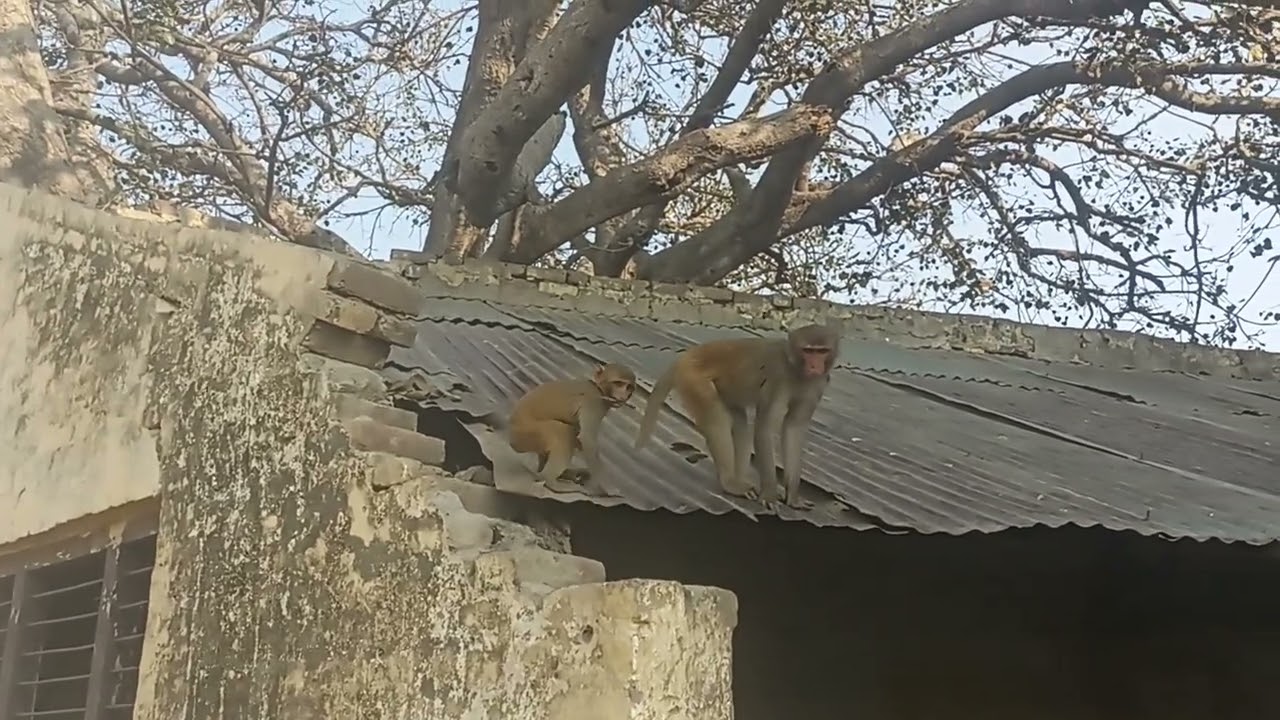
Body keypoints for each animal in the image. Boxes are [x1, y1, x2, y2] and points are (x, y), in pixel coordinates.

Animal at [507, 363, 636, 496]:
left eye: (629, 387)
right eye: (618, 383)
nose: (624, 395)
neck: (598, 387)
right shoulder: (594, 402)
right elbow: (587, 439)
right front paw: (606, 487)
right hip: (525, 434)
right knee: (563, 431)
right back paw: (551, 481)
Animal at [635, 324, 840, 510]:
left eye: (822, 351)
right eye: (808, 351)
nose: (814, 365)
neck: (796, 368)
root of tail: (684, 357)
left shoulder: (818, 383)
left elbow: (794, 429)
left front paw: (793, 497)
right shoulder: (778, 378)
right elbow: (765, 429)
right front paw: (769, 494)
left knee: (741, 426)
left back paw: (738, 479)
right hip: (693, 379)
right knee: (717, 419)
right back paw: (729, 483)